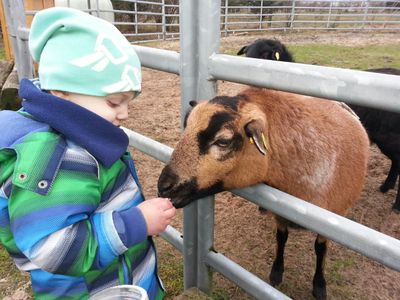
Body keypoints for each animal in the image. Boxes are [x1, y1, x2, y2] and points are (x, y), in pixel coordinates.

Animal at [157, 85, 368, 298]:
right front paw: (277, 273)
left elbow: (320, 249)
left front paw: (319, 285)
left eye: (223, 141)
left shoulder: (333, 218)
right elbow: (281, 238)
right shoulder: (281, 211)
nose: (163, 186)